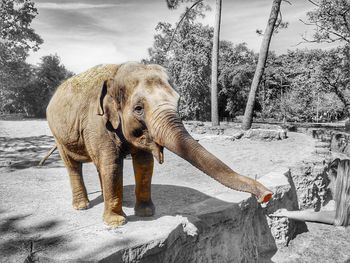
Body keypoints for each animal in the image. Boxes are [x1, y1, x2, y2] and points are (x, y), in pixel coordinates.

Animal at [45, 62, 272, 229]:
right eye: (138, 108)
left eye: (178, 102)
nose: (267, 195)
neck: (118, 72)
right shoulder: (97, 124)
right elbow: (112, 164)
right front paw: (116, 223)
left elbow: (144, 164)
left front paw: (146, 213)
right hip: (57, 133)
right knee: (74, 165)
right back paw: (82, 206)